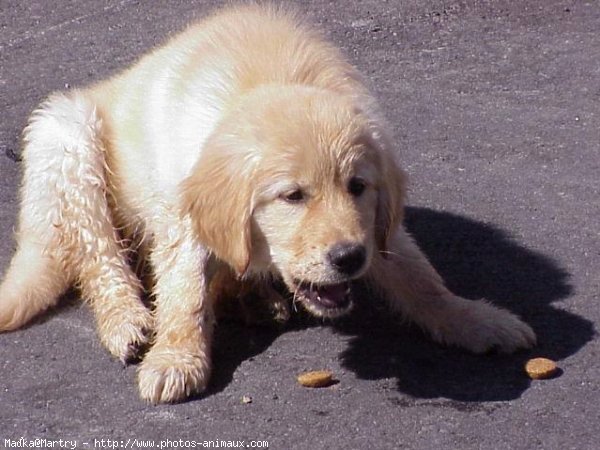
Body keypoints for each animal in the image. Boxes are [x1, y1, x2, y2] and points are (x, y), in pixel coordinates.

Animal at [0, 4, 536, 404]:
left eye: (357, 187)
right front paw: (177, 358)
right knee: (98, 256)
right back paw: (126, 320)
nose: (349, 259)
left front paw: (474, 319)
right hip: (66, 137)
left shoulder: (375, 226)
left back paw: (253, 297)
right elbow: (184, 292)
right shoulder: (180, 213)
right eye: (292, 196)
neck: (262, 80)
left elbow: (419, 277)